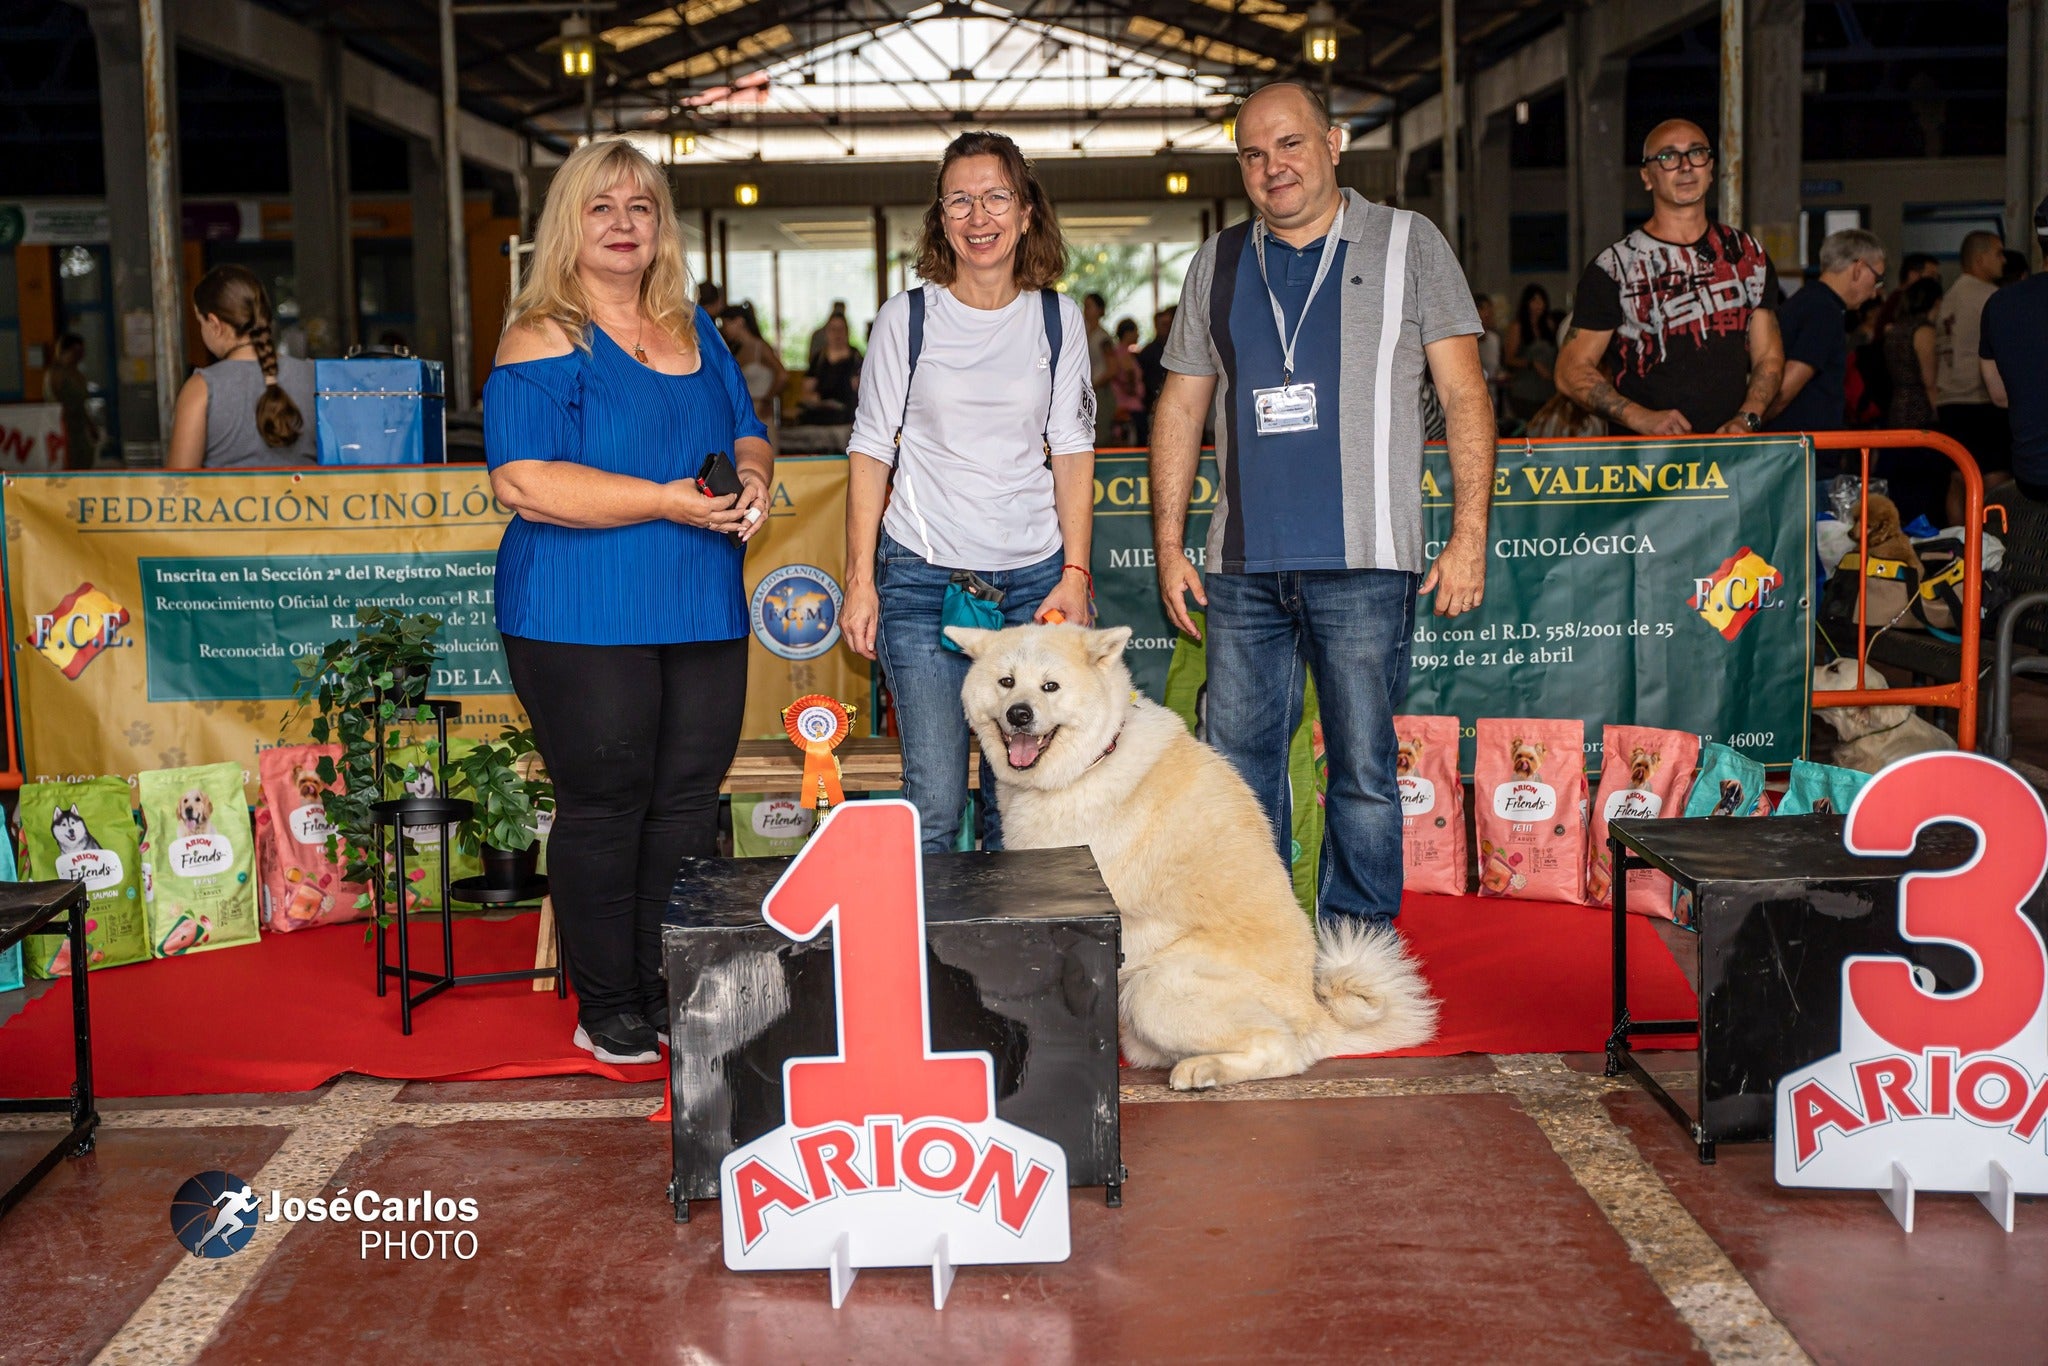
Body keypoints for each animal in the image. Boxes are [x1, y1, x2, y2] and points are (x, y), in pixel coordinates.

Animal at [946, 622, 1441, 1089]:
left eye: (1050, 686)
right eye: (1007, 682)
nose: (1020, 714)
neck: (1094, 760)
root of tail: (1315, 1012)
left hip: (1155, 989)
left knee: (1284, 1051)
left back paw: (1203, 1071)